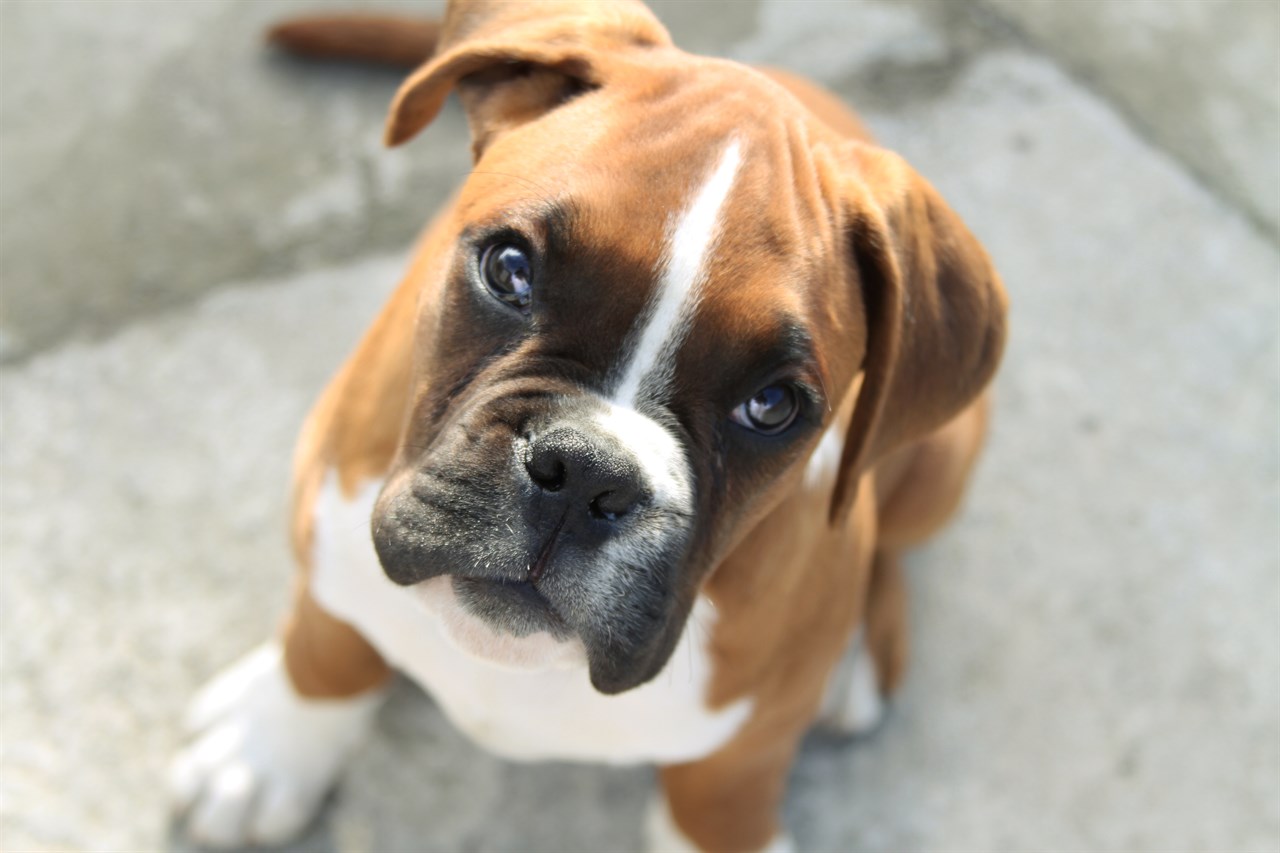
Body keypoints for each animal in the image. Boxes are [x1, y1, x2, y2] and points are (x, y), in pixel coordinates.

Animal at [172, 3, 1008, 845]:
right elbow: (326, 640)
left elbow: (719, 805)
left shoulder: (740, 757)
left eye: (772, 406)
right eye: (509, 269)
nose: (586, 475)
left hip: (940, 466)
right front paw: (268, 748)